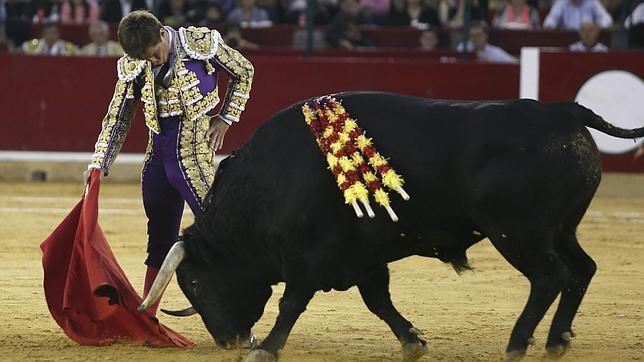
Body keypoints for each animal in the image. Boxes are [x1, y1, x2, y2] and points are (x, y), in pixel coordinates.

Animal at [140, 92, 644, 360]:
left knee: (550, 276)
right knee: (581, 270)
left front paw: (266, 347)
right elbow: (378, 301)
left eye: (195, 284)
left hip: (519, 232)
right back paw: (557, 340)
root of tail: (564, 111)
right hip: (562, 229)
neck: (270, 179)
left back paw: (519, 342)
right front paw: (413, 341)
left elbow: (292, 302)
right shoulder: (362, 257)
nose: (226, 341)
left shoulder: (308, 255)